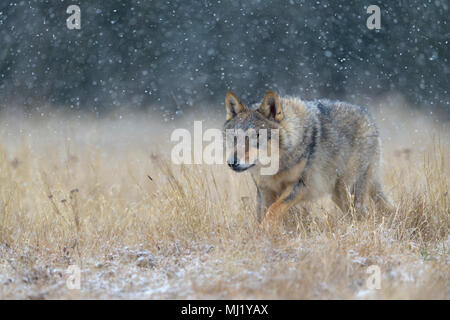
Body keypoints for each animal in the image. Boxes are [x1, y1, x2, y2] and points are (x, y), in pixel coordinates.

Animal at [224, 90, 394, 230]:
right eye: (235, 137)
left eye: (256, 137)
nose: (232, 162)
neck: (277, 166)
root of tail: (369, 118)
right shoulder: (265, 191)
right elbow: (264, 214)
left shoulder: (299, 186)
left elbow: (273, 211)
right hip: (338, 195)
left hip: (346, 191)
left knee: (363, 215)